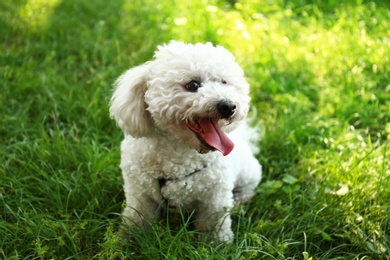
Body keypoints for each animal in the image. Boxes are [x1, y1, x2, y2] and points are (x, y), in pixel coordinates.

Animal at [109, 40, 262, 242]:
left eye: (224, 82)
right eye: (193, 84)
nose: (229, 106)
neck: (178, 157)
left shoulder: (215, 197)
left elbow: (215, 222)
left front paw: (218, 243)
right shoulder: (139, 193)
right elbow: (137, 217)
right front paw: (130, 238)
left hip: (248, 173)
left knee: (248, 187)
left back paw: (239, 199)